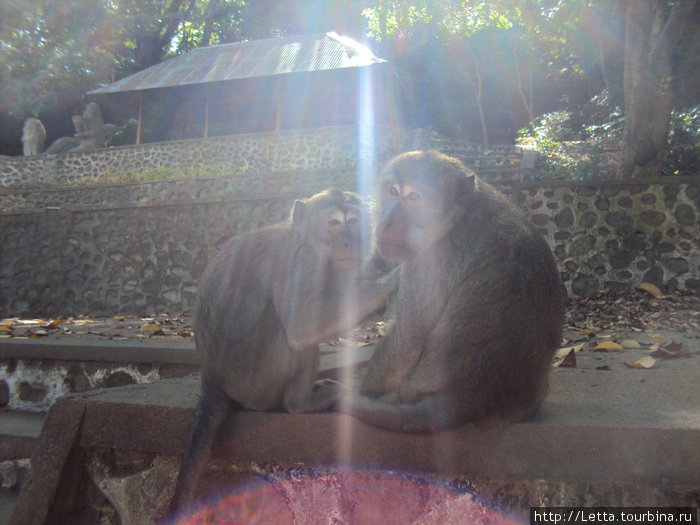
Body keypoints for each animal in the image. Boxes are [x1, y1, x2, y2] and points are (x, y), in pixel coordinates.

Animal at [170, 186, 396, 510]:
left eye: (353, 221)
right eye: (335, 223)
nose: (349, 241)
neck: (305, 238)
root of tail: (210, 377)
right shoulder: (303, 263)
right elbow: (301, 325)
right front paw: (392, 280)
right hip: (253, 383)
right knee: (291, 335)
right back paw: (299, 403)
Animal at [340, 149, 564, 432]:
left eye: (413, 197)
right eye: (392, 191)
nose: (387, 221)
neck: (457, 216)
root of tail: (471, 398)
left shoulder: (430, 258)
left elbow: (407, 341)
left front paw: (363, 392)